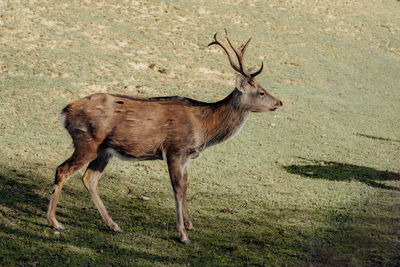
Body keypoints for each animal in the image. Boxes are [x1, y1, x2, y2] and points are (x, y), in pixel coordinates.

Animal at [47, 30, 282, 244]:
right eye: (261, 91)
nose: (279, 102)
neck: (203, 127)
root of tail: (64, 112)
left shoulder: (187, 157)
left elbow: (186, 186)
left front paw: (190, 224)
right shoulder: (175, 150)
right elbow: (177, 189)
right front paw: (183, 235)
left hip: (104, 150)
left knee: (89, 179)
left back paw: (114, 225)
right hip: (87, 142)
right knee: (62, 170)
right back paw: (55, 222)